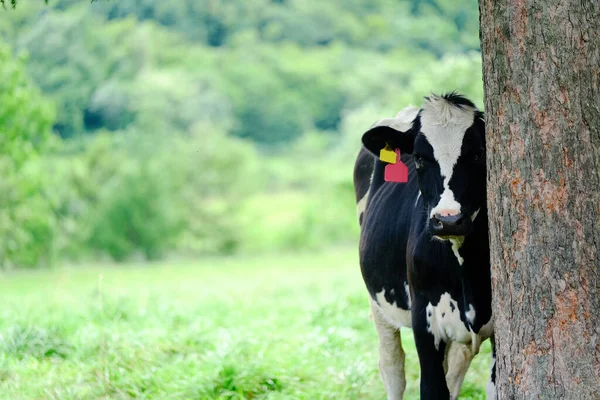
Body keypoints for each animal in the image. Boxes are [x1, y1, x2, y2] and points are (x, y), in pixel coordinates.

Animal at [354, 94, 494, 400]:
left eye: (479, 154)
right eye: (419, 157)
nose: (448, 219)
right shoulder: (424, 319)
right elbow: (431, 388)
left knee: (457, 364)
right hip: (377, 301)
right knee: (392, 367)